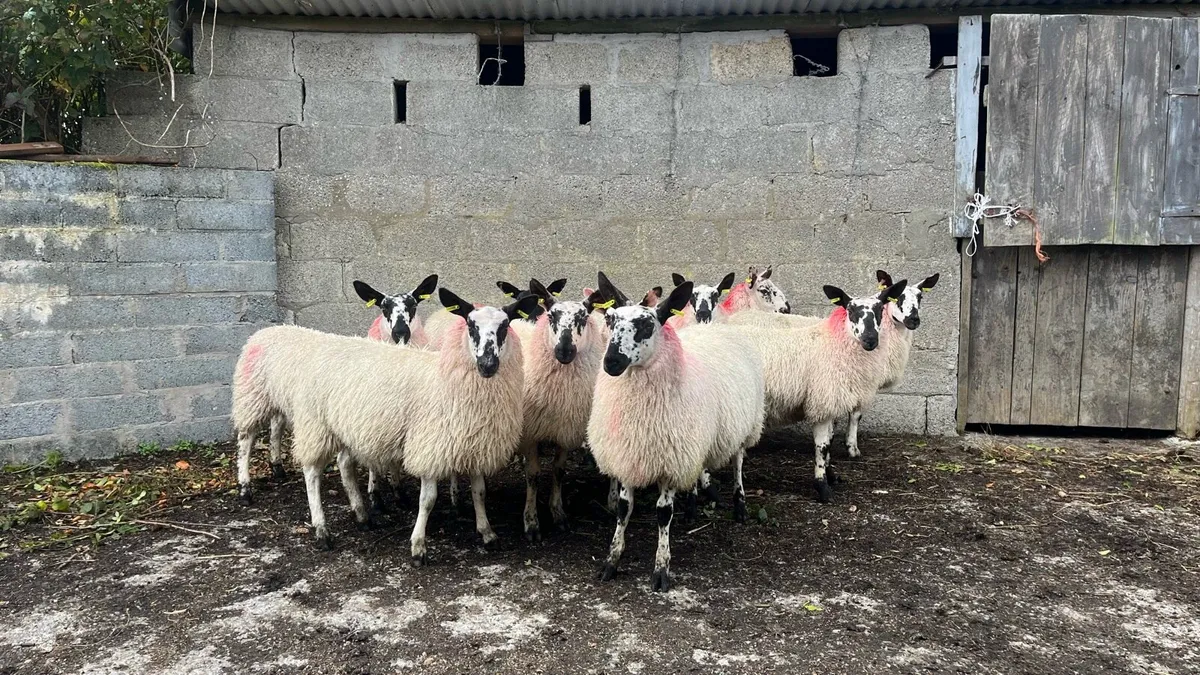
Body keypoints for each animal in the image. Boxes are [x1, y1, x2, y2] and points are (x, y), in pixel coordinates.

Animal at [232, 288, 540, 562]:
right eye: (471, 325)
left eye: (505, 326)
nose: (488, 364)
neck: (445, 378)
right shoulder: (428, 445)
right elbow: (428, 500)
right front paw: (418, 547)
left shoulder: (475, 443)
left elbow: (480, 492)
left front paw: (487, 533)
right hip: (304, 419)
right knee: (299, 467)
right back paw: (314, 526)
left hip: (344, 427)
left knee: (344, 467)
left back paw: (361, 515)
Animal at [588, 279, 765, 592]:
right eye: (610, 319)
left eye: (647, 325)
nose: (611, 363)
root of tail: (712, 328)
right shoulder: (627, 455)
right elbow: (623, 509)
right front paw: (611, 561)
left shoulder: (670, 462)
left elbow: (663, 513)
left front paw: (661, 570)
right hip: (694, 441)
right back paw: (693, 507)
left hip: (745, 425)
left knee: (738, 463)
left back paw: (740, 505)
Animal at [726, 279, 908, 503]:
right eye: (850, 310)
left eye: (880, 309)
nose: (870, 339)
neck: (834, 343)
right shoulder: (822, 401)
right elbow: (822, 447)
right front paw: (823, 487)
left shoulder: (830, 402)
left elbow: (829, 442)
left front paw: (831, 476)